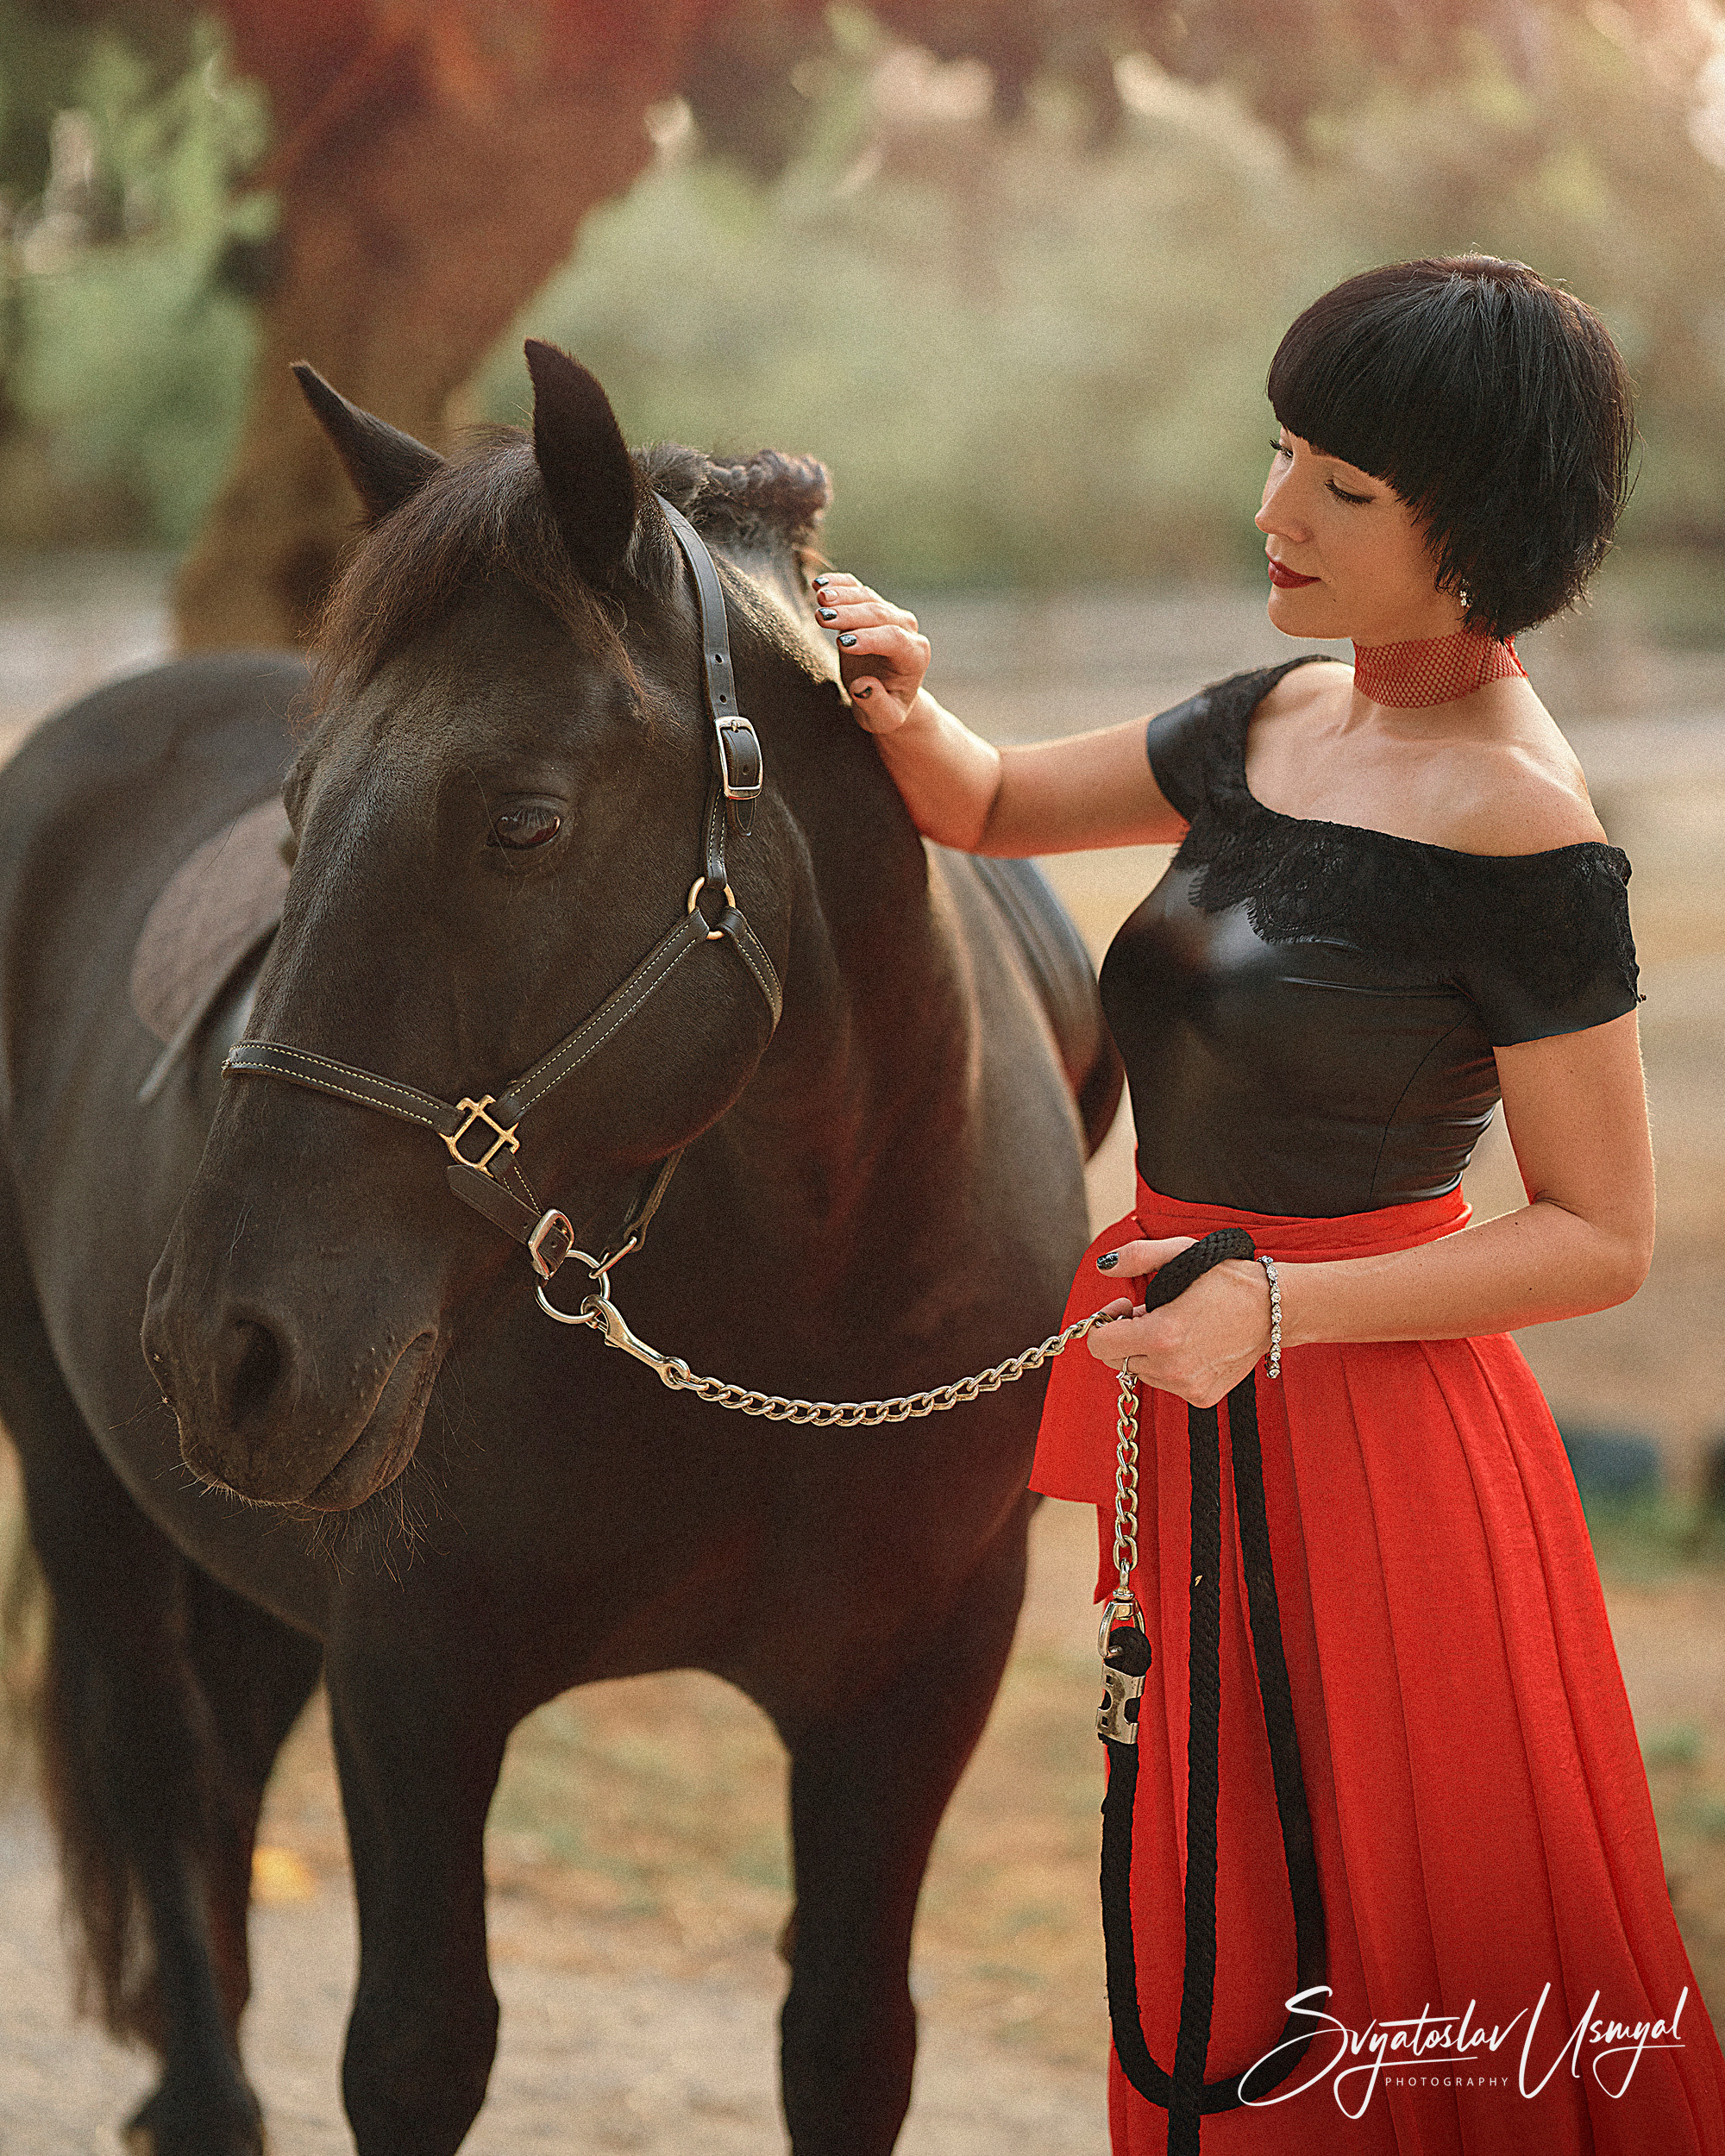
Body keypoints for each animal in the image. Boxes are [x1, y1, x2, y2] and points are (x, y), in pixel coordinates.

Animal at [0, 339, 1121, 2156]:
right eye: (298, 817)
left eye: (523, 823)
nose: (227, 1349)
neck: (802, 1314)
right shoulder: (415, 1688)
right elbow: (417, 2049)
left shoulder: (908, 1697)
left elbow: (848, 2044)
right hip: (85, 1483)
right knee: (163, 1773)